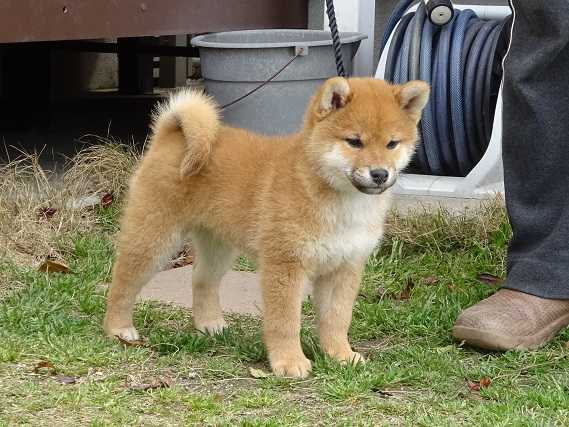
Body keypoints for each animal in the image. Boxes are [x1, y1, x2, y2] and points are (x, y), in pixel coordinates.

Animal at [103, 77, 430, 378]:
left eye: (392, 143)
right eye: (354, 142)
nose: (380, 173)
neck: (340, 200)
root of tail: (170, 135)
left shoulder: (344, 267)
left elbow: (337, 319)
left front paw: (340, 354)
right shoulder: (285, 264)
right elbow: (285, 322)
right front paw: (289, 362)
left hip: (218, 246)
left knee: (201, 279)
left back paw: (209, 324)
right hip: (154, 237)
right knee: (123, 281)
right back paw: (119, 329)